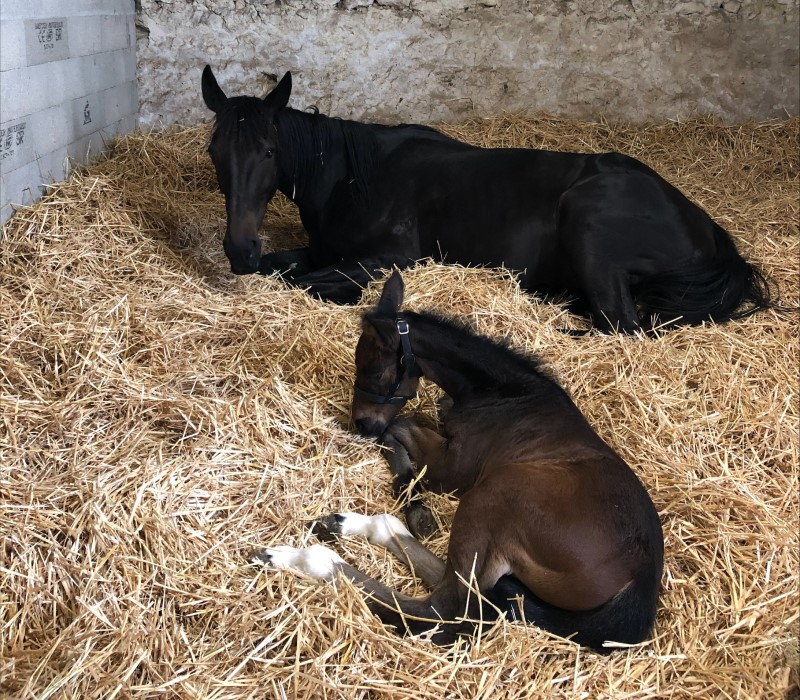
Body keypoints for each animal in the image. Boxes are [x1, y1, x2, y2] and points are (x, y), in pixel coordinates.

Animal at [201, 65, 770, 333]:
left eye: (269, 150)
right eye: (214, 151)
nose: (238, 250)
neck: (354, 179)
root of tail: (708, 229)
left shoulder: (390, 257)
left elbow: (305, 282)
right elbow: (285, 267)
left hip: (588, 223)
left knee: (622, 325)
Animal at [253, 271, 664, 651]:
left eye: (373, 369)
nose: (362, 424)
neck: (505, 394)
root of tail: (639, 587)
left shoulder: (452, 470)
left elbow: (401, 425)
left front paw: (411, 493)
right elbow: (402, 427)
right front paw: (412, 499)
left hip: (493, 496)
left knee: (446, 608)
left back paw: (305, 558)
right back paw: (351, 524)